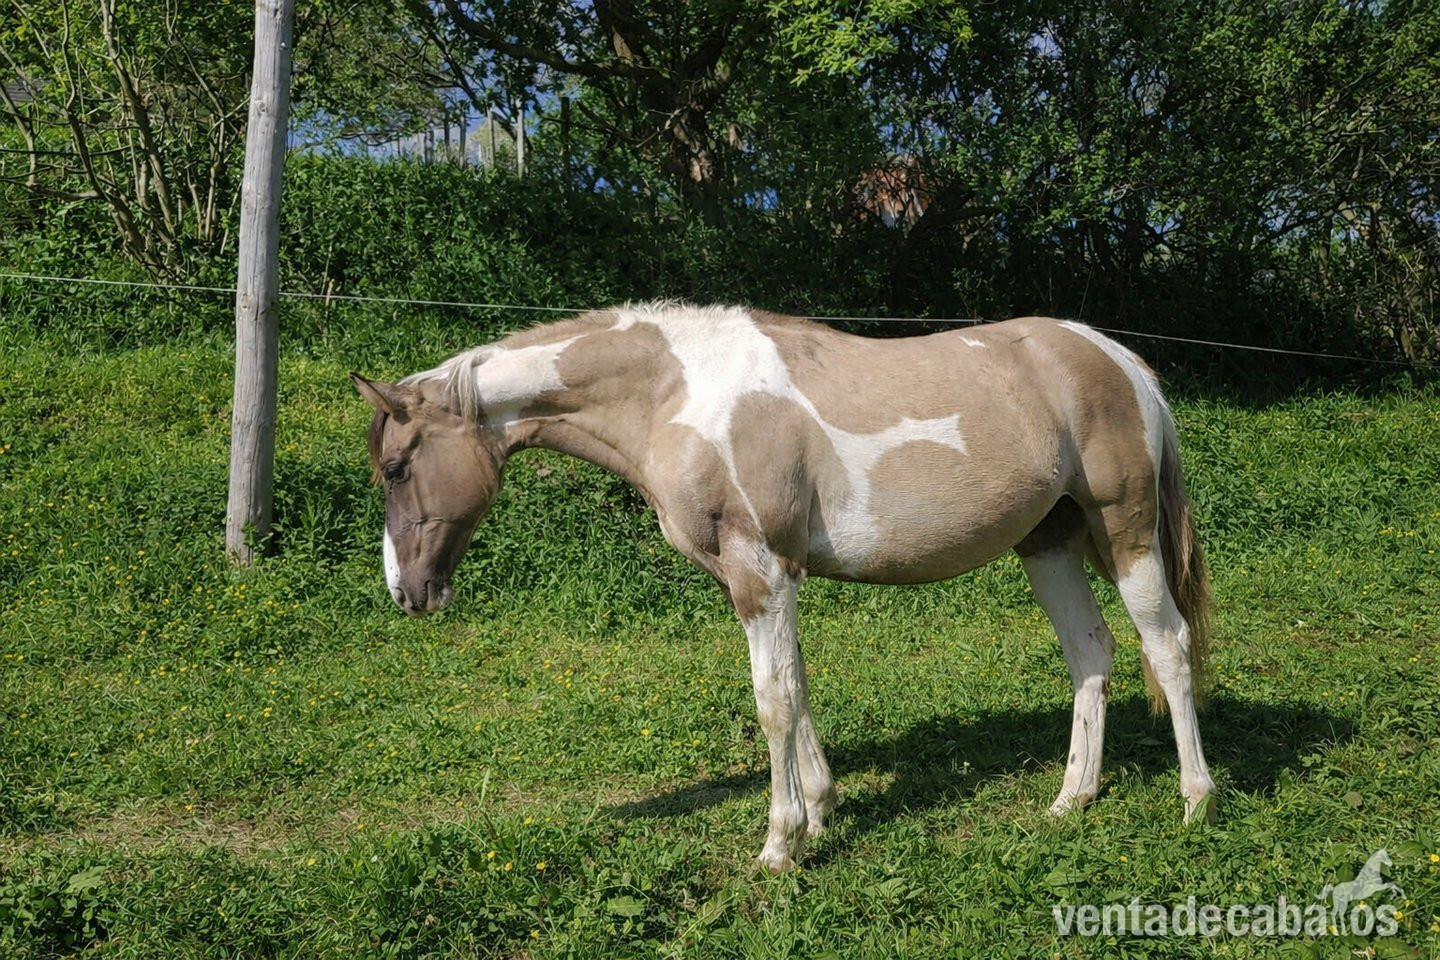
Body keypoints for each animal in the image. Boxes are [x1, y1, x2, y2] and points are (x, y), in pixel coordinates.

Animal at [351, 302, 1217, 872]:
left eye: (395, 468)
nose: (408, 593)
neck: (678, 394)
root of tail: (1120, 360)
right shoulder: (774, 580)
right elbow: (797, 688)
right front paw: (821, 813)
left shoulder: (759, 574)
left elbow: (771, 701)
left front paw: (777, 845)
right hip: (1048, 544)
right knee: (1091, 652)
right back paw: (1072, 800)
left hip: (1125, 532)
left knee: (1167, 647)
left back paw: (1196, 800)